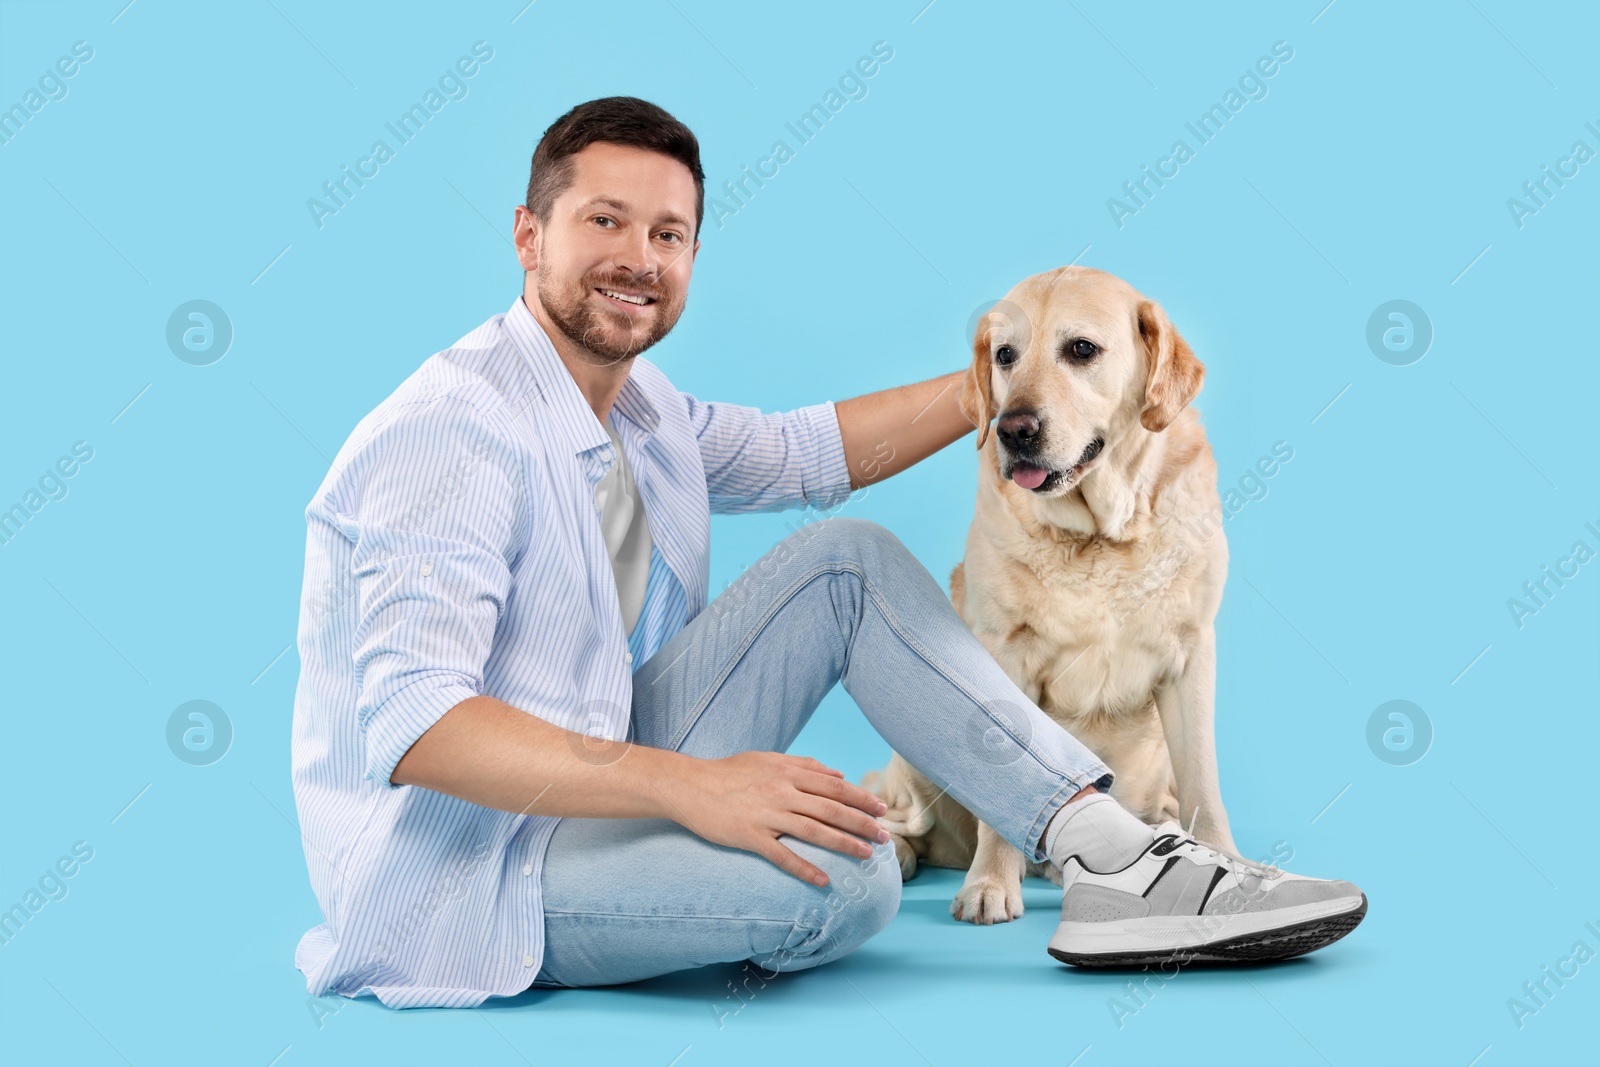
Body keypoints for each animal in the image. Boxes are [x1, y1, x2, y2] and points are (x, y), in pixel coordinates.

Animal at [864, 267, 1235, 927]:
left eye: (1081, 349)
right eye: (1005, 356)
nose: (1013, 429)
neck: (1100, 535)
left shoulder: (1192, 654)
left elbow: (1204, 784)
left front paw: (1226, 859)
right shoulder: (1005, 654)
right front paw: (990, 882)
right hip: (910, 762)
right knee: (904, 816)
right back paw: (900, 853)